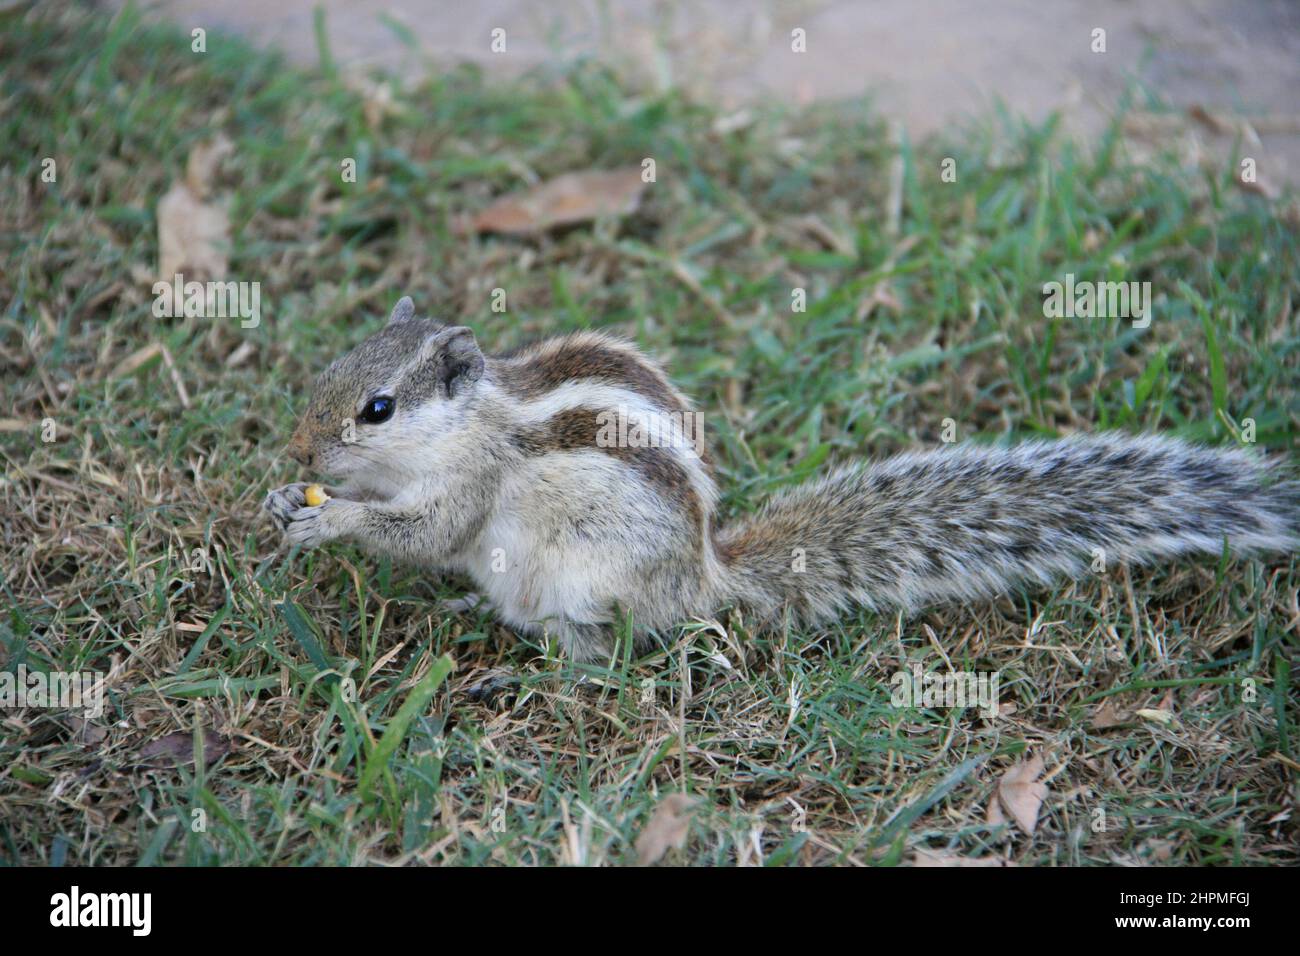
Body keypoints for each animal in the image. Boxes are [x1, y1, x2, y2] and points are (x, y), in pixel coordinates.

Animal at [264, 296, 1298, 662]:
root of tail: (706, 575)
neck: (471, 420)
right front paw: (288, 504)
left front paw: (328, 522)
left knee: (604, 647)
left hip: (585, 571)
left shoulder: (475, 481)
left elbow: (425, 532)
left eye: (377, 409)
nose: (300, 453)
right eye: (335, 365)